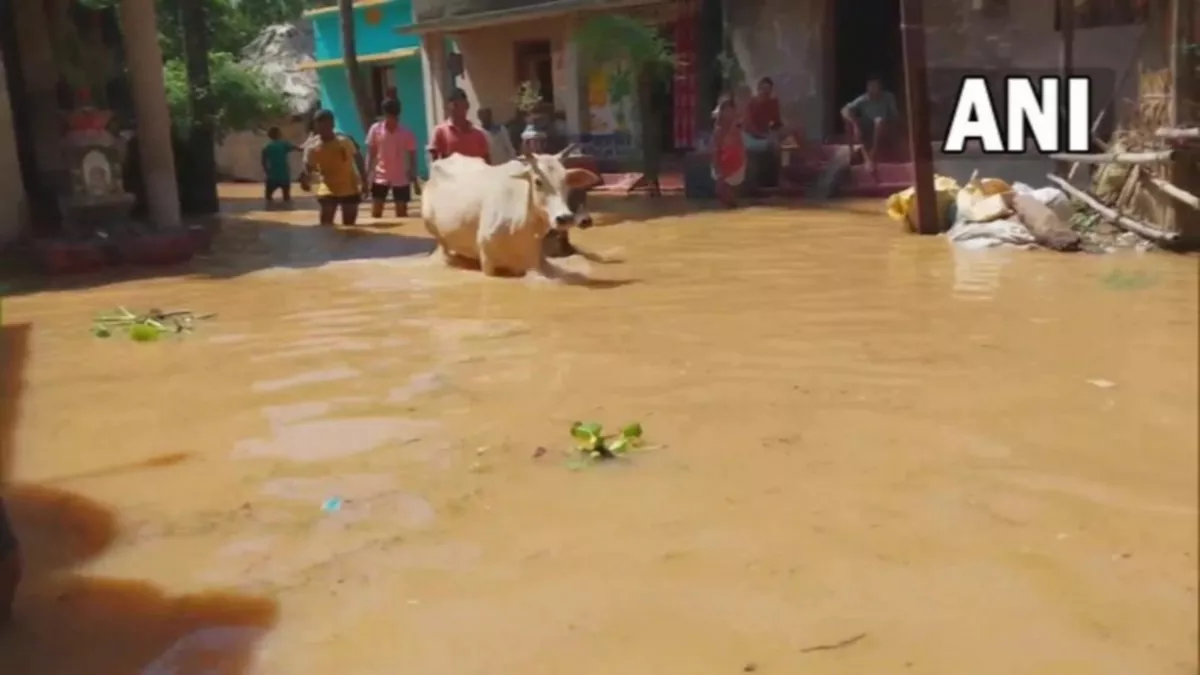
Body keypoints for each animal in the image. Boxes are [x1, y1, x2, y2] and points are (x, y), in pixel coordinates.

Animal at [422, 145, 600, 276]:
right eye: (538, 181)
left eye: (566, 181)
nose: (564, 218)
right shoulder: (487, 260)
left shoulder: (535, 260)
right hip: (435, 232)